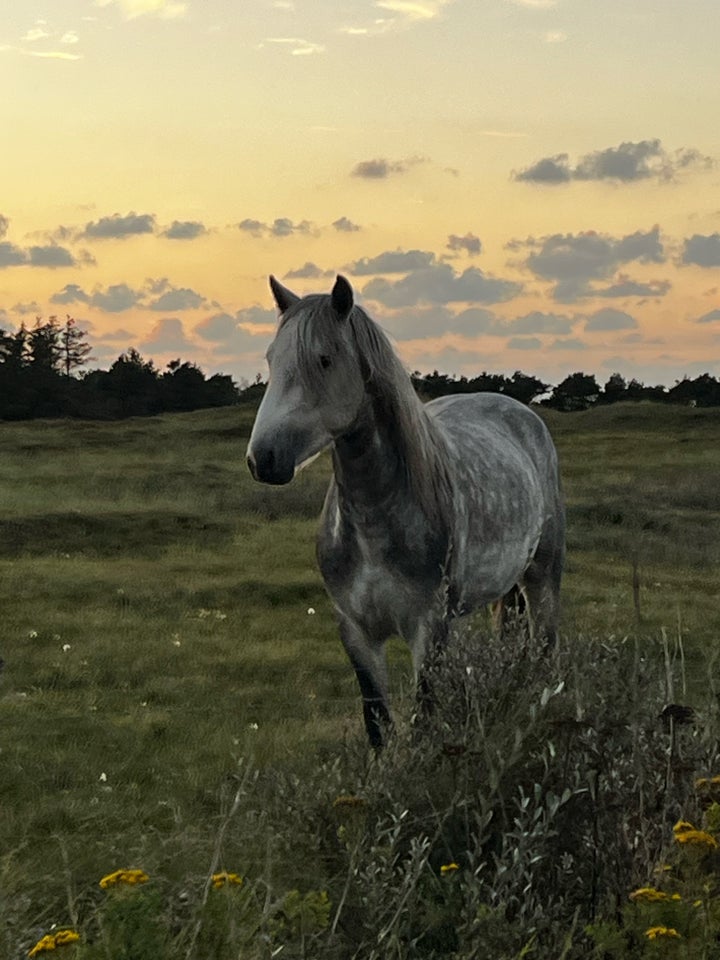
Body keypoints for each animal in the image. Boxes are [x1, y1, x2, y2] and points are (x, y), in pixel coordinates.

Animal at [248, 274, 568, 748]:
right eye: (271, 360)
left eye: (324, 359)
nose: (263, 459)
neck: (372, 523)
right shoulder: (356, 631)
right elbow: (377, 723)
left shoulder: (428, 629)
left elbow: (424, 718)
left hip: (542, 578)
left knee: (544, 651)